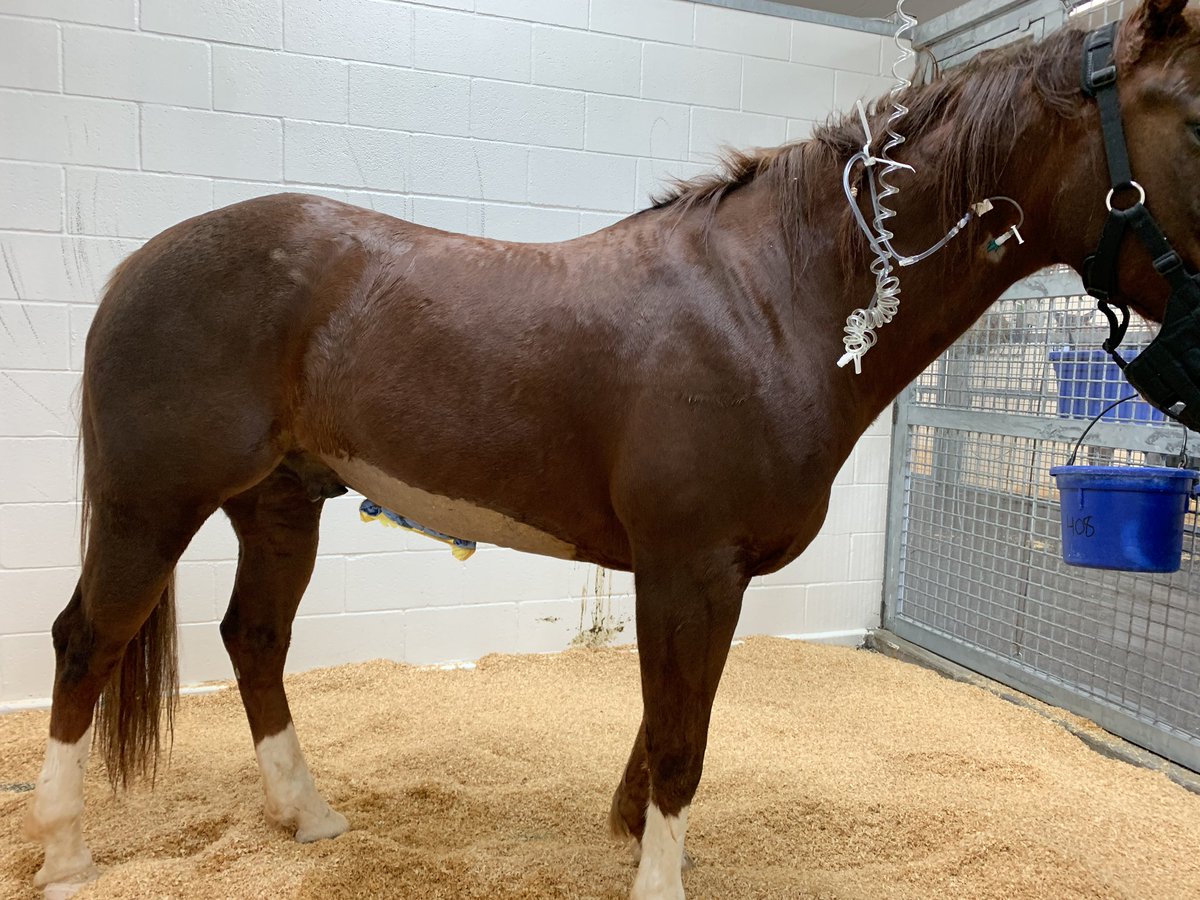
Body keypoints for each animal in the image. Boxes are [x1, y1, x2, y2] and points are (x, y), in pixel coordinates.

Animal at [22, 1, 1200, 897]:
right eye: (1194, 119)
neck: (774, 301)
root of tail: (138, 266)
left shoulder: (695, 575)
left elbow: (668, 721)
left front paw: (631, 837)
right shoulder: (690, 567)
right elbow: (680, 739)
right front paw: (658, 878)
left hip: (278, 504)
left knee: (253, 640)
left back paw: (310, 819)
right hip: (150, 504)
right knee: (87, 642)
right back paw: (69, 858)